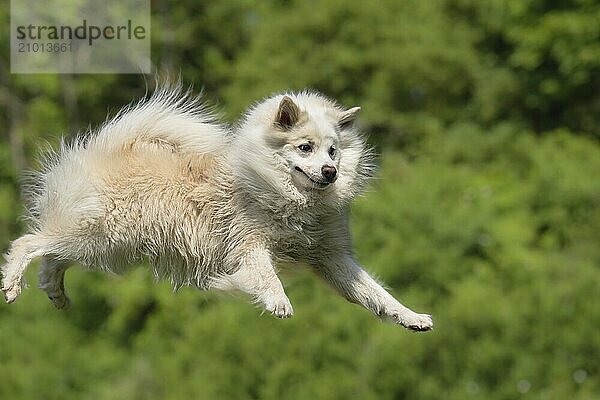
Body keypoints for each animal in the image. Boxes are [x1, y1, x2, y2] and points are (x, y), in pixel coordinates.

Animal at [0, 84, 432, 332]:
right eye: (304, 147)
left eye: (334, 150)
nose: (330, 172)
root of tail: (104, 146)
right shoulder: (250, 247)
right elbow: (268, 277)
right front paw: (278, 302)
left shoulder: (332, 257)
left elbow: (377, 295)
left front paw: (410, 317)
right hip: (98, 233)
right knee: (28, 243)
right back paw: (12, 283)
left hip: (103, 244)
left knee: (52, 258)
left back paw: (56, 294)